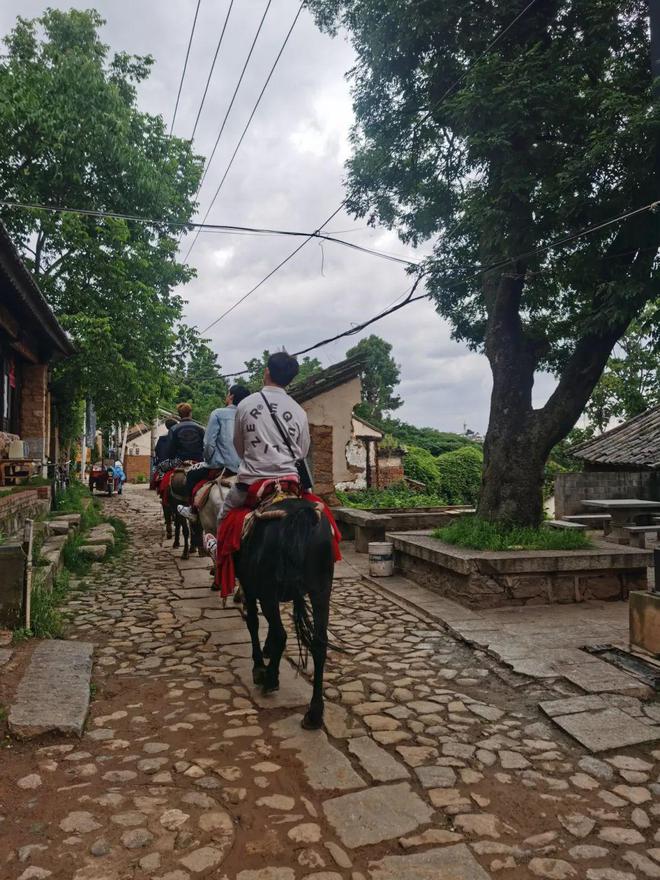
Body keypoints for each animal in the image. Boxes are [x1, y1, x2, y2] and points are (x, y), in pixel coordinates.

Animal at [236, 498, 332, 732]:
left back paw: (270, 680)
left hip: (268, 591)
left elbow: (253, 622)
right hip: (321, 589)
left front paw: (259, 666)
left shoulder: (250, 588)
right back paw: (314, 713)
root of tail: (299, 513)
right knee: (319, 643)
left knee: (282, 635)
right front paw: (267, 650)